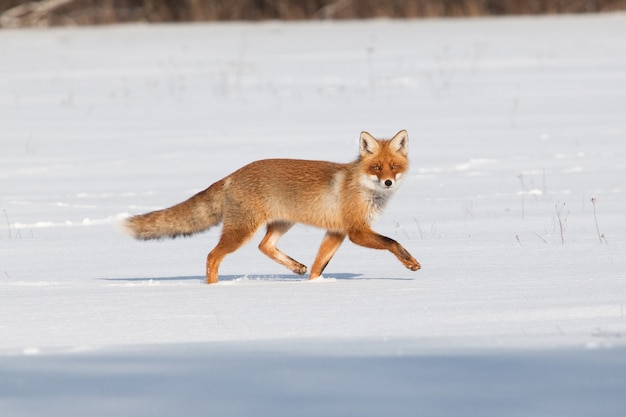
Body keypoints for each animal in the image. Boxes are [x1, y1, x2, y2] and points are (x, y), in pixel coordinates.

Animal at [123, 130, 420, 282]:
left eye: (394, 166)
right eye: (376, 167)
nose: (388, 182)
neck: (363, 188)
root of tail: (233, 174)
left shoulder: (336, 232)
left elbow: (319, 266)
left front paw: (315, 285)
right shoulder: (356, 231)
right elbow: (393, 242)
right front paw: (410, 263)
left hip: (281, 223)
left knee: (264, 246)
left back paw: (295, 267)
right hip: (242, 230)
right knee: (212, 256)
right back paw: (213, 288)